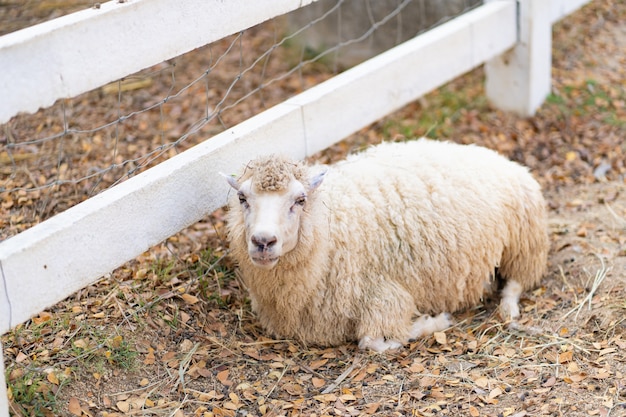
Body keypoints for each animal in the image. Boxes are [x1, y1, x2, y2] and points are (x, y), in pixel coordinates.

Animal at [222, 138, 544, 350]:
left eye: (299, 200)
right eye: (242, 198)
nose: (263, 241)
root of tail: (499, 157)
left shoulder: (384, 294)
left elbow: (373, 342)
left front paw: (434, 321)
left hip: (524, 242)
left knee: (516, 283)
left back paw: (508, 309)